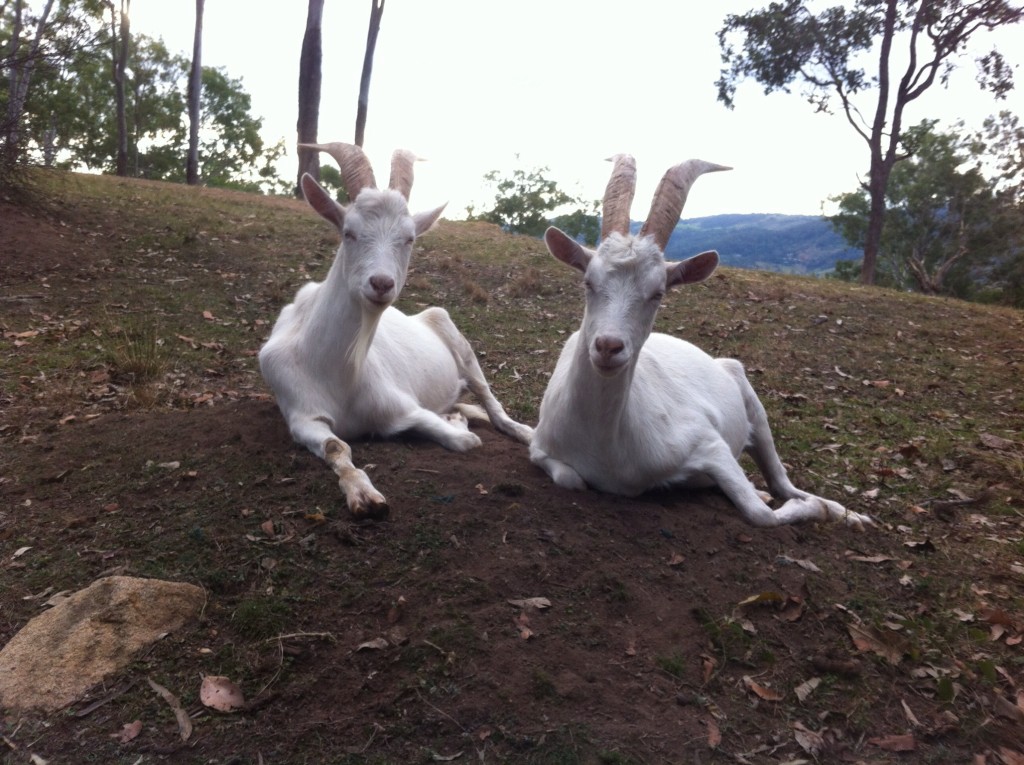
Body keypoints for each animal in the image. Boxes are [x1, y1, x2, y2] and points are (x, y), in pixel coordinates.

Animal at [260, 140, 532, 518]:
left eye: (410, 238)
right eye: (348, 232)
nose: (381, 283)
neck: (334, 368)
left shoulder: (400, 405)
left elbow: (463, 440)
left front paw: (456, 425)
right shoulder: (301, 413)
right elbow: (335, 446)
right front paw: (362, 495)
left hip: (453, 335)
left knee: (489, 399)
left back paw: (523, 431)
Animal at [528, 153, 872, 528]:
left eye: (658, 293)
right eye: (588, 282)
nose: (608, 347)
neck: (605, 445)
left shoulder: (708, 443)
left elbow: (761, 514)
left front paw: (820, 510)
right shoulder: (540, 446)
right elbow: (570, 478)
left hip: (752, 404)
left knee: (783, 482)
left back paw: (848, 514)